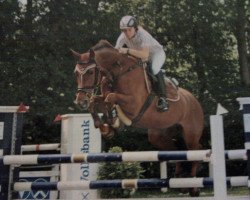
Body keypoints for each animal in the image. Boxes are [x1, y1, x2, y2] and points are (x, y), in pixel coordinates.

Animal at [72, 39, 203, 196]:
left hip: (190, 134)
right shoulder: (103, 98)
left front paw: (111, 123)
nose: (80, 101)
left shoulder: (133, 104)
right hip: (158, 135)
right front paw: (104, 127)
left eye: (90, 72)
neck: (119, 72)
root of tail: (195, 101)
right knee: (177, 152)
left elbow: (110, 98)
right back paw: (181, 183)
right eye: (76, 73)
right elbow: (96, 102)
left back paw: (193, 187)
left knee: (195, 152)